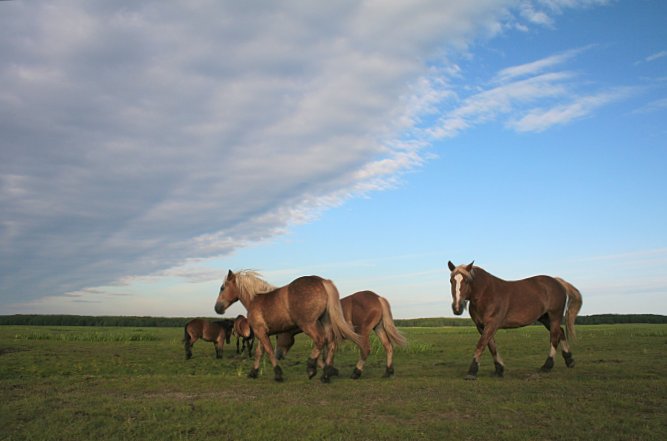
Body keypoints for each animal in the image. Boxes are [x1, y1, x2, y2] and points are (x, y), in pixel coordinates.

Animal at [215, 268, 362, 382]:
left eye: (222, 288)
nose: (217, 308)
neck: (254, 299)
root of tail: (322, 281)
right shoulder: (261, 333)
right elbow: (259, 352)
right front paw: (253, 373)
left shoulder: (260, 332)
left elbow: (269, 351)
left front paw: (278, 374)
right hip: (324, 321)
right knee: (331, 344)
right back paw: (325, 375)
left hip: (308, 324)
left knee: (320, 340)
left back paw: (311, 369)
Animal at [276, 288, 408, 378]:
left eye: (277, 336)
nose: (278, 355)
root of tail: (378, 298)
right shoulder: (330, 339)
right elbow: (327, 355)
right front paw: (330, 370)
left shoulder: (323, 338)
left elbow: (320, 357)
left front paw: (329, 371)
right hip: (379, 328)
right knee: (388, 347)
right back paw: (388, 372)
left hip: (362, 332)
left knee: (365, 349)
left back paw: (356, 372)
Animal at [448, 260, 584, 380]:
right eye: (451, 280)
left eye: (466, 280)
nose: (457, 308)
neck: (486, 294)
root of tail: (557, 281)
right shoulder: (481, 326)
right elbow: (491, 346)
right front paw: (499, 369)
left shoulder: (492, 324)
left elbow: (481, 344)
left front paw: (472, 372)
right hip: (545, 318)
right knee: (560, 332)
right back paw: (569, 360)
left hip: (554, 316)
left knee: (554, 338)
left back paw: (547, 366)